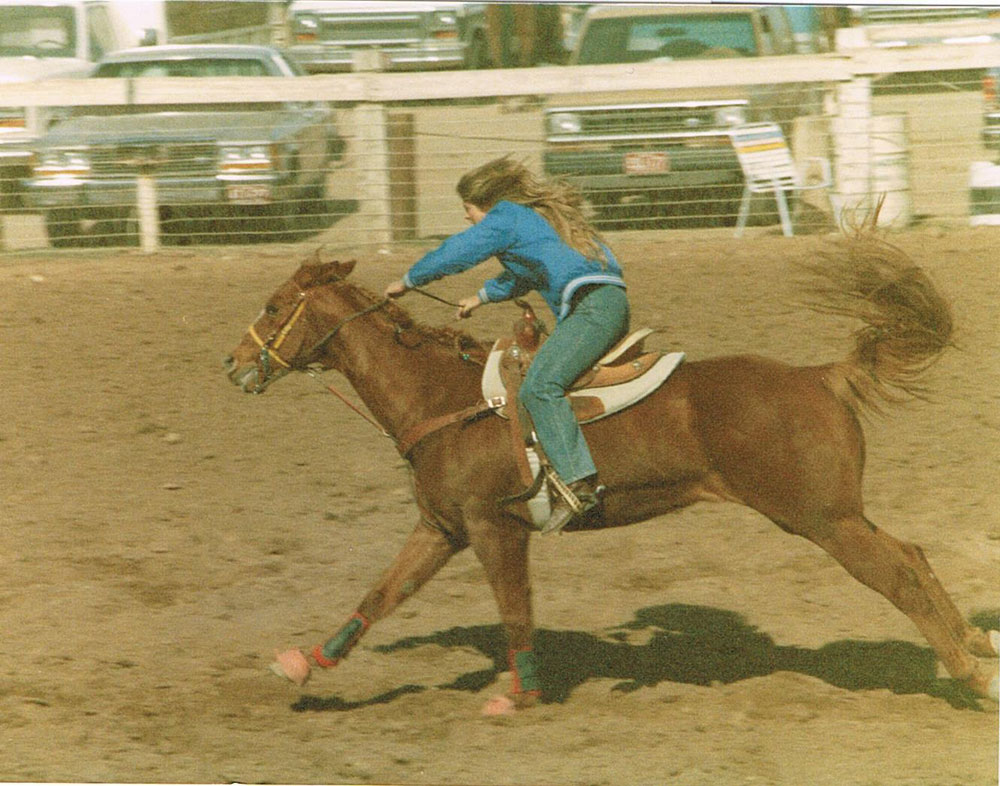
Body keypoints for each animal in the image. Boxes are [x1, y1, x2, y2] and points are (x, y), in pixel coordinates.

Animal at [227, 233, 1000, 704]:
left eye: (274, 304)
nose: (233, 365)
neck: (445, 399)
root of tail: (821, 377)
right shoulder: (442, 527)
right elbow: (383, 593)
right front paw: (306, 663)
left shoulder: (495, 529)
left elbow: (514, 611)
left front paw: (519, 696)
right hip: (838, 515)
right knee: (915, 556)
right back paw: (975, 647)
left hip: (822, 519)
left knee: (900, 573)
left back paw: (969, 672)